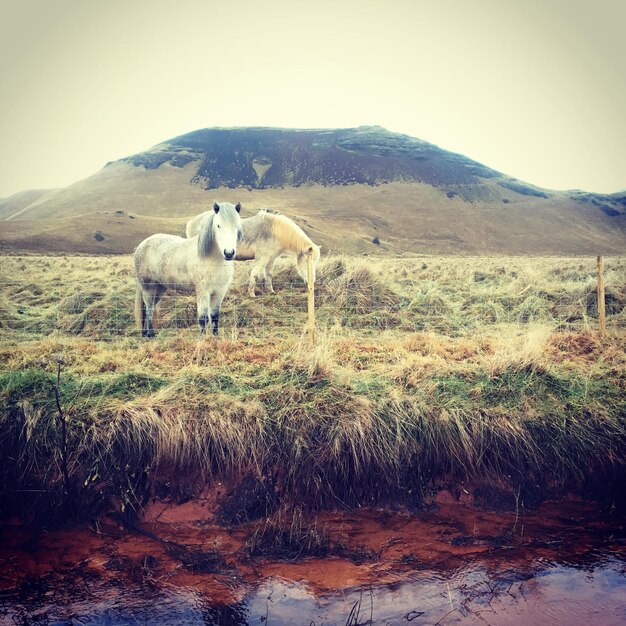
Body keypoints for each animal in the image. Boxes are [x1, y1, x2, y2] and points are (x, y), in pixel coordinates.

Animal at [134, 201, 241, 336]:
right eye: (218, 226)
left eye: (237, 226)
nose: (229, 253)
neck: (213, 260)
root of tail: (141, 245)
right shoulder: (202, 291)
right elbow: (203, 318)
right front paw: (203, 339)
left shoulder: (219, 291)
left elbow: (215, 317)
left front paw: (215, 337)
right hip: (149, 288)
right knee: (148, 309)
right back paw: (150, 334)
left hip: (159, 288)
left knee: (149, 308)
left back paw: (145, 334)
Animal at [184, 208, 322, 296]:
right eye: (308, 261)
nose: (312, 282)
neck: (275, 231)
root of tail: (192, 222)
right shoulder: (262, 258)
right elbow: (254, 274)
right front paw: (251, 293)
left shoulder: (271, 259)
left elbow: (269, 274)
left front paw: (270, 291)